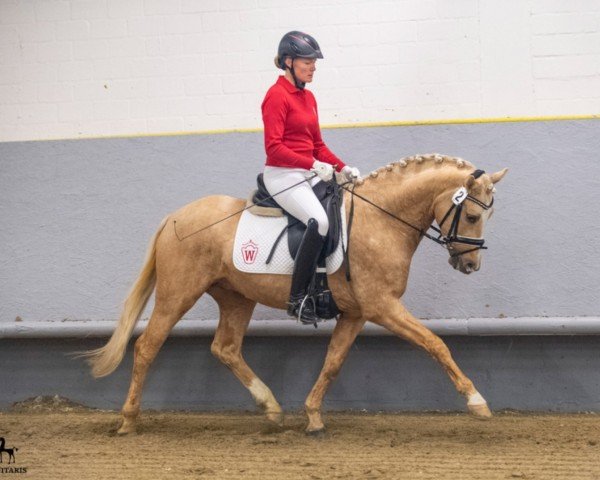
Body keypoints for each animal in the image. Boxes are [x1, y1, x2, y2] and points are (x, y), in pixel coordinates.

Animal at [83, 153, 506, 436]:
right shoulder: (383, 306)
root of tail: (174, 217)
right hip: (178, 293)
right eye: (472, 215)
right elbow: (436, 344)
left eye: (487, 215)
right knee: (148, 346)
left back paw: (272, 408)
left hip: (236, 297)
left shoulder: (357, 313)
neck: (381, 219)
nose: (470, 265)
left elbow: (333, 363)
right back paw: (128, 420)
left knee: (226, 348)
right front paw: (477, 402)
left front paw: (313, 416)